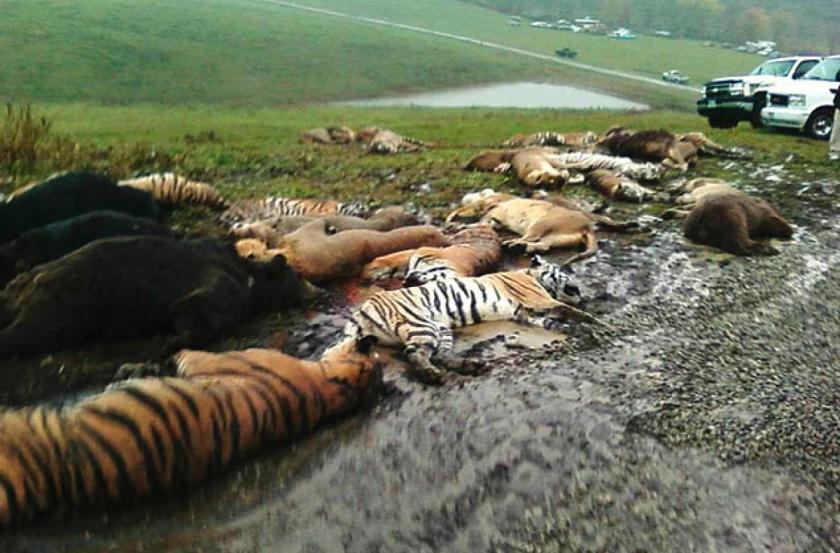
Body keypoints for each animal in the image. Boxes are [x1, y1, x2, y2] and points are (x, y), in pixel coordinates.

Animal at [344, 256, 587, 384]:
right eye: (563, 271)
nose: (581, 291)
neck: (531, 275)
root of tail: (360, 310)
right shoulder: (538, 299)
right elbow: (572, 311)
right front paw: (594, 325)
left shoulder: (526, 313)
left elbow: (554, 322)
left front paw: (575, 329)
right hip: (422, 325)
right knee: (414, 353)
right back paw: (432, 374)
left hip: (440, 329)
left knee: (440, 354)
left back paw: (469, 366)